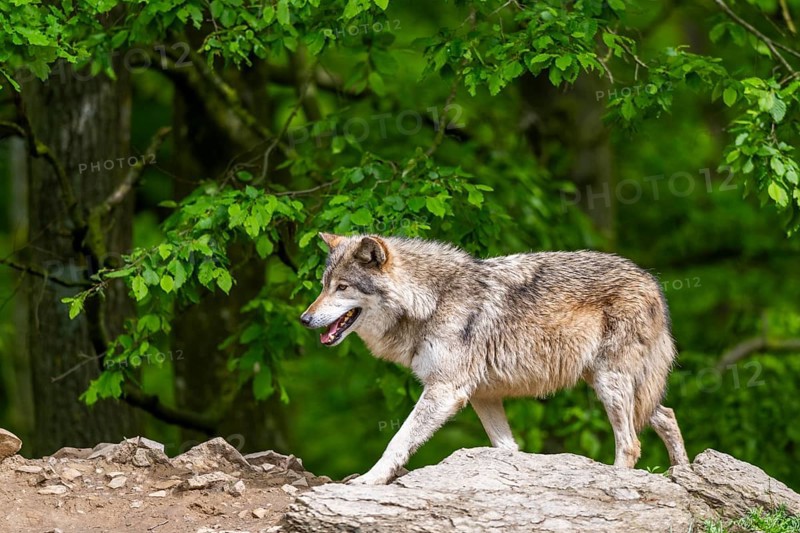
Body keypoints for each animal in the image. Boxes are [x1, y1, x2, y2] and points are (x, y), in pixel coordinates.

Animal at [301, 233, 689, 485]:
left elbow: (398, 440)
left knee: (631, 444)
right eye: (323, 286)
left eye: (342, 287)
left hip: (611, 385)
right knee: (668, 415)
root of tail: (651, 281)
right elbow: (508, 448)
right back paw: (683, 474)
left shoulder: (445, 391)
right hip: (617, 385)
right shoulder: (483, 396)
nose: (304, 319)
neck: (432, 301)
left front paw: (369, 480)